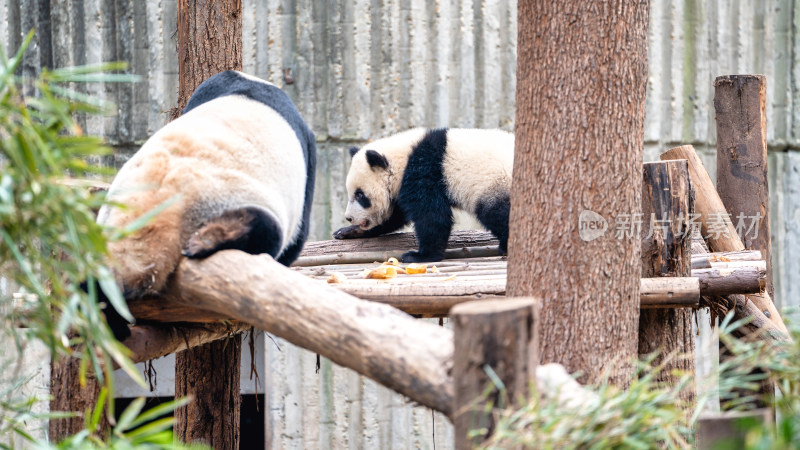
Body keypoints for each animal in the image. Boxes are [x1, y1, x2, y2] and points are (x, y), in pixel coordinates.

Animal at [332, 126, 512, 262]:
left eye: (360, 195)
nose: (349, 217)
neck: (404, 158)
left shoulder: (423, 173)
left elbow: (431, 217)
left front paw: (421, 256)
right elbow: (394, 217)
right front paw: (347, 231)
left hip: (495, 184)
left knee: (497, 213)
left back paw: (506, 245)